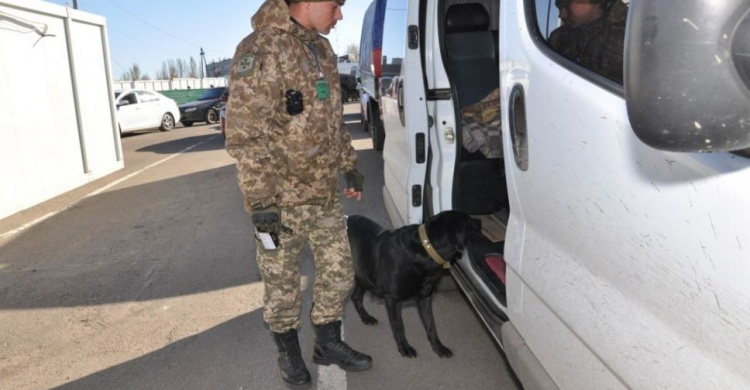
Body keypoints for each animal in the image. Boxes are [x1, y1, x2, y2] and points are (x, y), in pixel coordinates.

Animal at [346, 212, 482, 358]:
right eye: (469, 220)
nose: (480, 222)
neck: (425, 249)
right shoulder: (392, 299)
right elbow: (399, 325)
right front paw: (404, 347)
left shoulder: (425, 299)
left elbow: (431, 324)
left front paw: (438, 347)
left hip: (362, 274)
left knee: (356, 297)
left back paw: (366, 317)